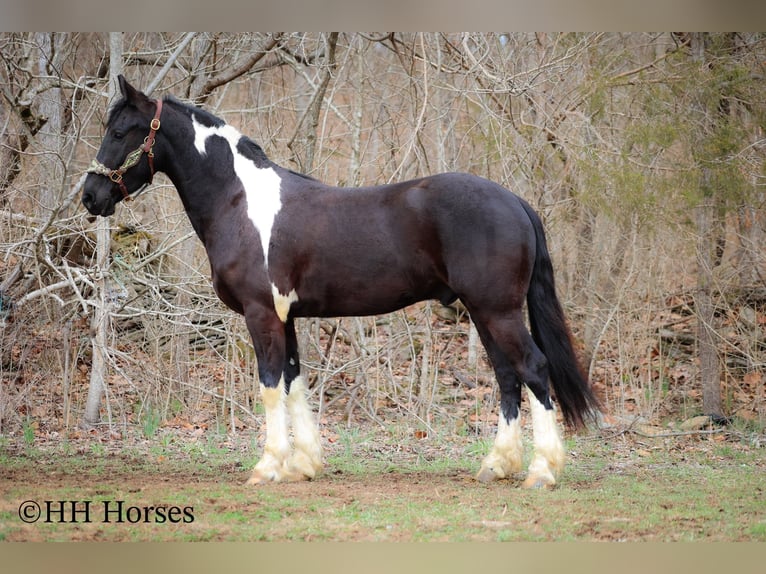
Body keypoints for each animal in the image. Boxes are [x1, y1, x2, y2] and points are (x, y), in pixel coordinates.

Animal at [82, 76, 600, 490]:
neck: (240, 201)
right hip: (483, 312)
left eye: (120, 131)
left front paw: (267, 467)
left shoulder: (261, 314)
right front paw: (303, 465)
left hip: (498, 311)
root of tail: (514, 201)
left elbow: (270, 384)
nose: (91, 196)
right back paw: (497, 465)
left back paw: (542, 472)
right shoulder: (286, 317)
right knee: (508, 377)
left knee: (533, 369)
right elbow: (294, 381)